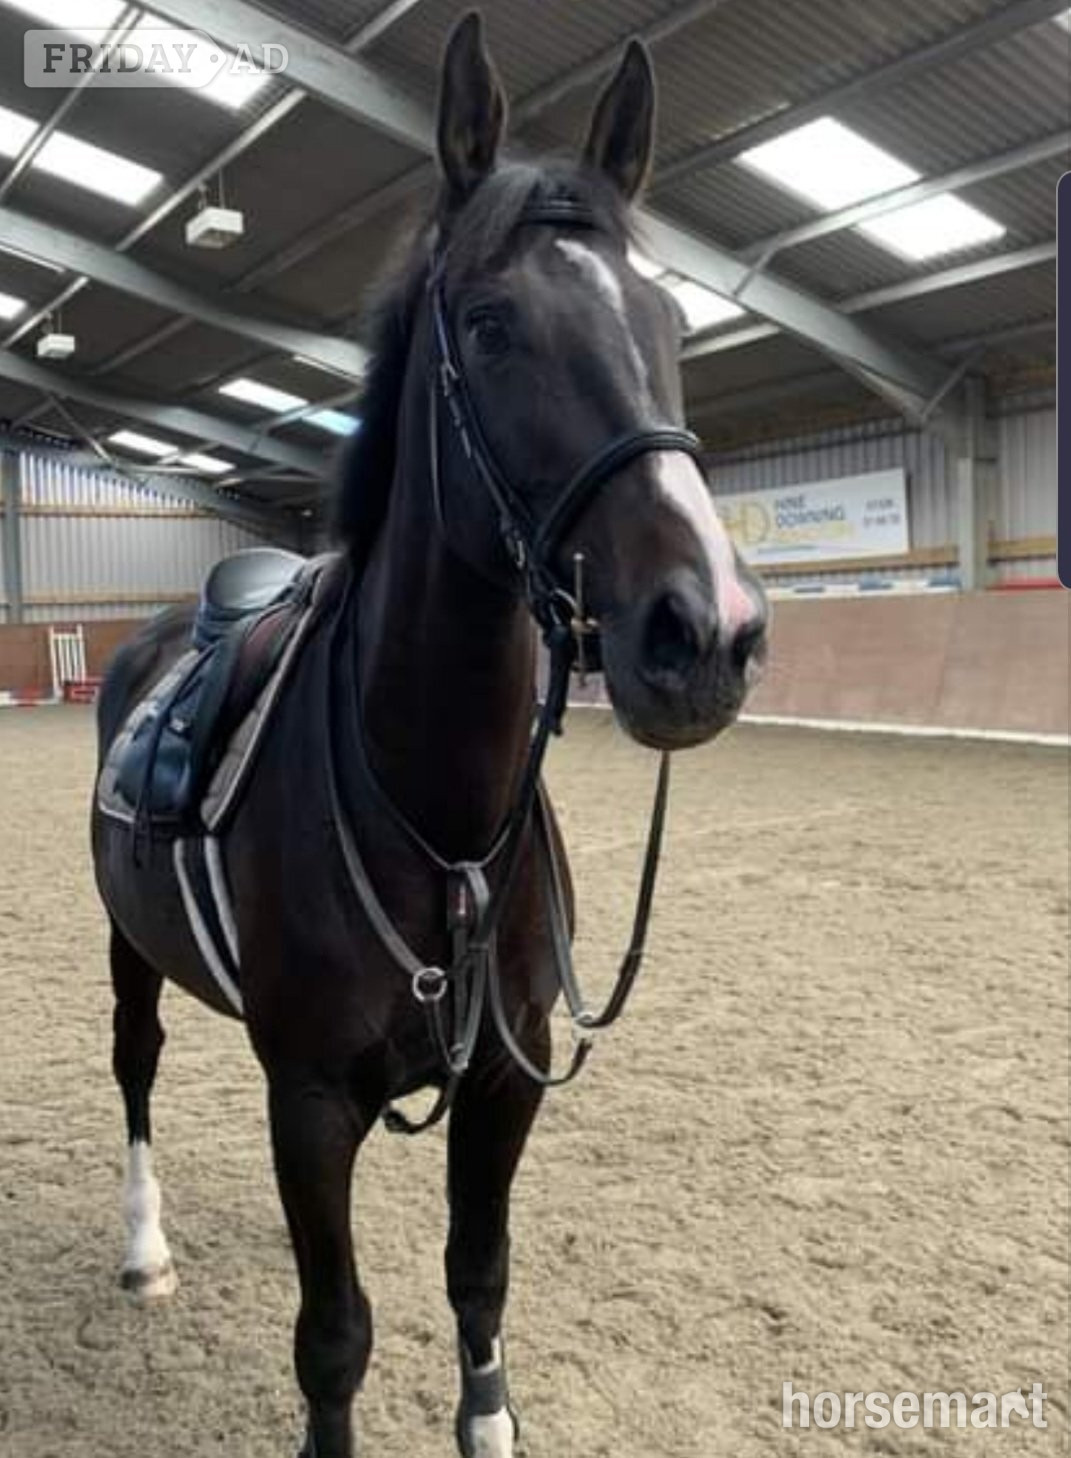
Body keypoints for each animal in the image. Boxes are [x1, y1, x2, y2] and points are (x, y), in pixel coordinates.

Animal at [90, 14, 768, 1457]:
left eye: (670, 320)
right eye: (493, 325)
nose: (708, 631)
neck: (438, 820)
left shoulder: (507, 1083)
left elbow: (479, 1281)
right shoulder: (310, 1098)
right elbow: (334, 1339)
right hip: (129, 952)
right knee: (136, 1070)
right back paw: (143, 1248)